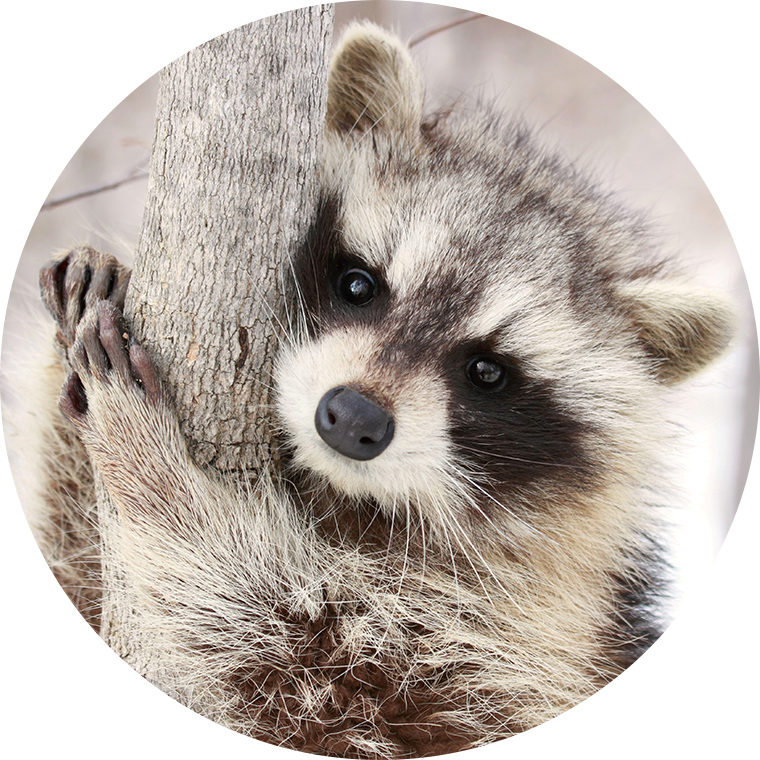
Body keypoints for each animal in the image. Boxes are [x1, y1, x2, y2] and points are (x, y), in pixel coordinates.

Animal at [5, 21, 734, 760]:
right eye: (359, 284)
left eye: (488, 372)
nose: (353, 417)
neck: (348, 497)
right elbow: (71, 625)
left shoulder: (525, 656)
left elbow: (316, 673)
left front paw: (157, 476)